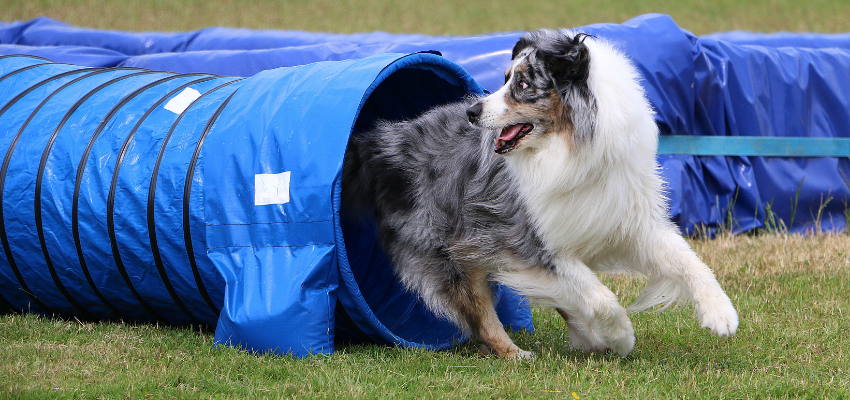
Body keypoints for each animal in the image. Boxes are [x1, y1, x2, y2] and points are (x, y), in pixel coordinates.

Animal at [338, 29, 736, 358]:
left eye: (524, 84)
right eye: (503, 79)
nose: (471, 111)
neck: (567, 149)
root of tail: (386, 139)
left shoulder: (628, 221)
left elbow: (689, 261)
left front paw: (721, 314)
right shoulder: (531, 241)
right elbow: (599, 296)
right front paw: (622, 335)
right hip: (449, 249)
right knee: (482, 316)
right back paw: (516, 353)